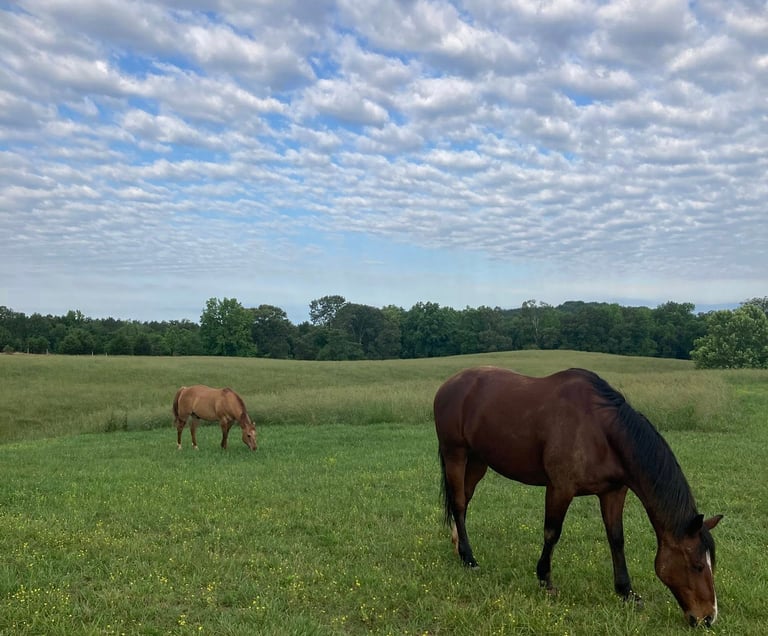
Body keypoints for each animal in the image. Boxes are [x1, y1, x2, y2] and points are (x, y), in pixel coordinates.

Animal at [434, 366, 722, 628]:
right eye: (697, 565)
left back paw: (458, 547)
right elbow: (552, 533)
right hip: (455, 454)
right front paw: (545, 580)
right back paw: (469, 559)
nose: (708, 618)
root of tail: (450, 384)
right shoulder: (560, 488)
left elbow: (616, 539)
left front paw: (626, 592)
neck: (600, 431)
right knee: (459, 504)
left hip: (477, 460)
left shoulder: (613, 492)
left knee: (464, 501)